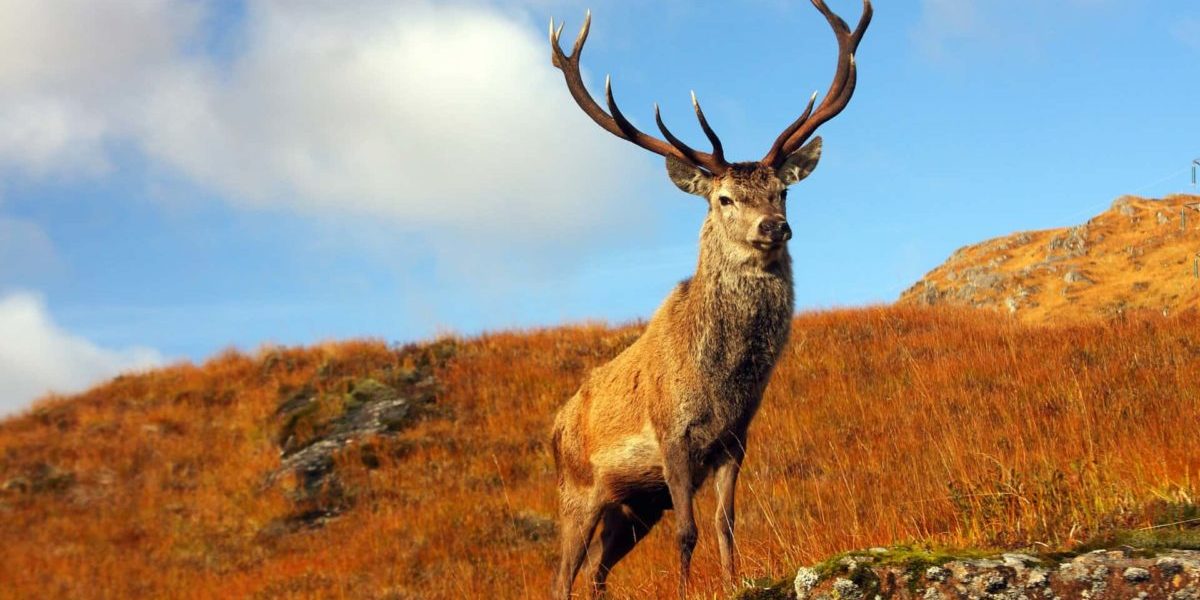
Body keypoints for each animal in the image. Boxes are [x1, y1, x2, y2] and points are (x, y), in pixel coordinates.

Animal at [547, 2, 873, 597]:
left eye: (782, 190)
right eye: (723, 198)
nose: (775, 226)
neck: (721, 384)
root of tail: (554, 427)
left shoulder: (734, 441)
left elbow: (725, 523)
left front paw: (731, 579)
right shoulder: (673, 438)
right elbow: (688, 531)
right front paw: (685, 587)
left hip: (632, 506)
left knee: (599, 569)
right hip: (578, 491)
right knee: (564, 573)